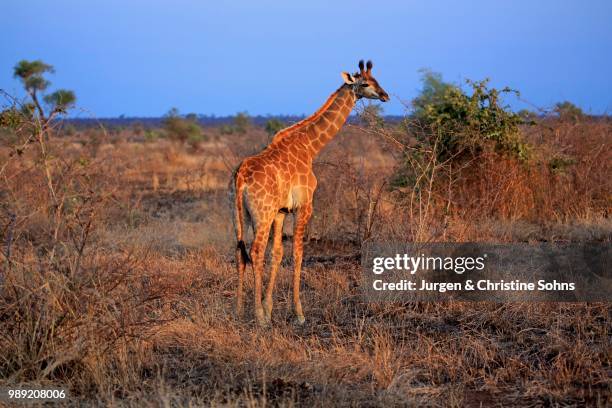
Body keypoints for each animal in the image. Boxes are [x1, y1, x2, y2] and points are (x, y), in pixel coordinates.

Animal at [230, 59, 388, 326]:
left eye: (377, 80)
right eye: (365, 83)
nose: (385, 95)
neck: (310, 147)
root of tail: (241, 178)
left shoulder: (281, 211)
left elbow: (278, 253)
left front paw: (270, 309)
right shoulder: (304, 206)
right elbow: (298, 253)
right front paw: (298, 313)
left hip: (241, 215)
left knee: (240, 252)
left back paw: (240, 312)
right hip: (261, 214)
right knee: (255, 251)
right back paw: (258, 317)